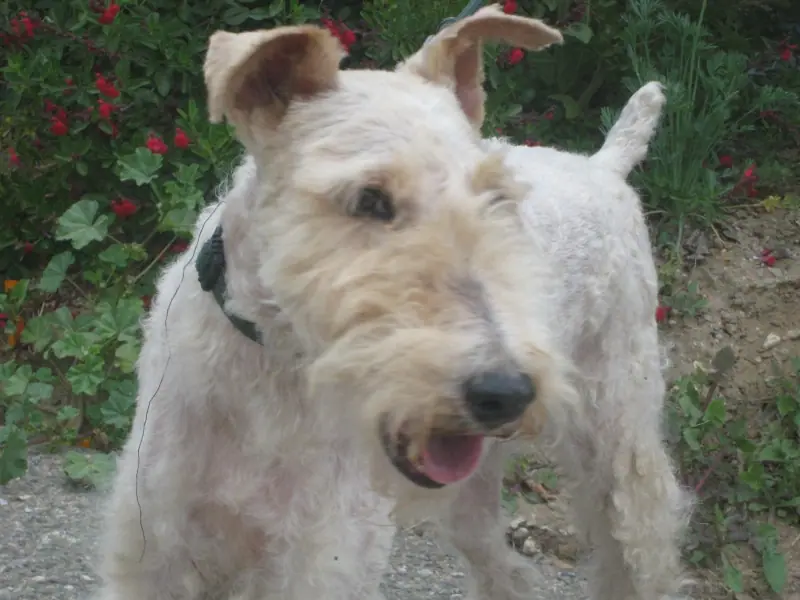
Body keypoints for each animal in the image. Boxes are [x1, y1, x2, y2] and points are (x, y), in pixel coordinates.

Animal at [94, 4, 692, 600]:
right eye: (369, 199)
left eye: (498, 199)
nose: (505, 392)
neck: (268, 366)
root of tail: (602, 165)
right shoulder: (152, 546)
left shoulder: (322, 560)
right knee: (507, 569)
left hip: (621, 443)